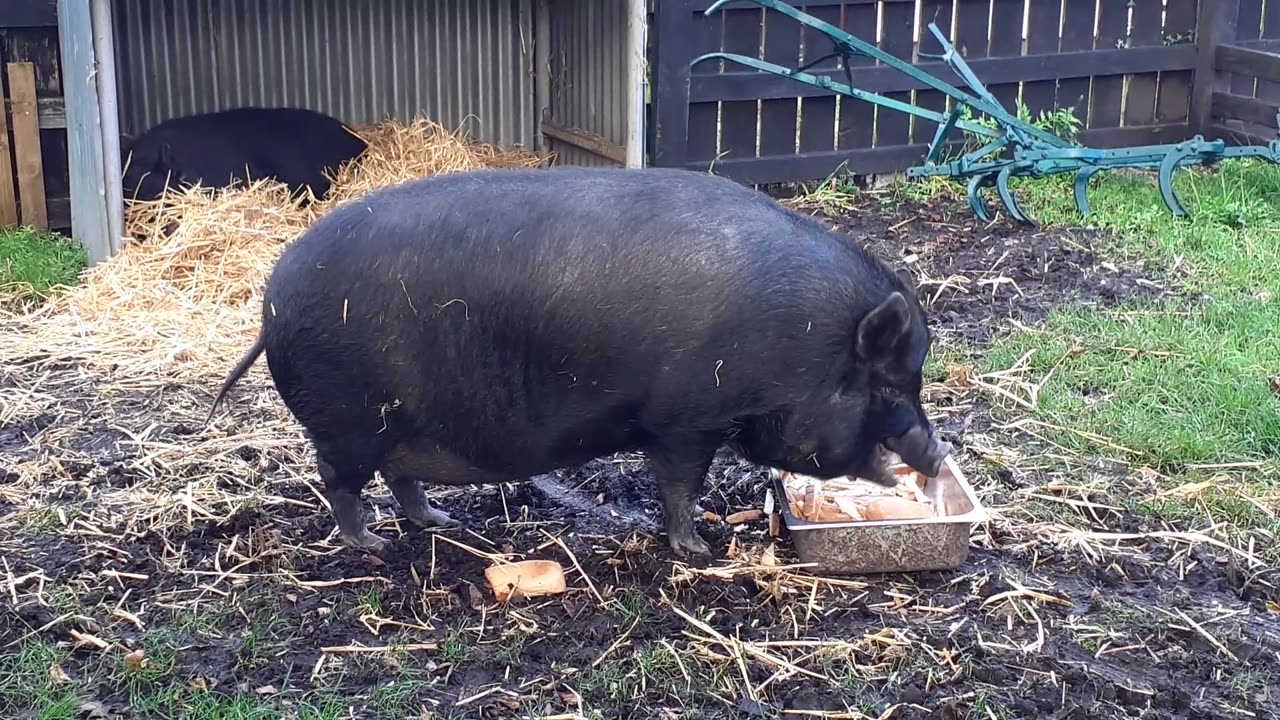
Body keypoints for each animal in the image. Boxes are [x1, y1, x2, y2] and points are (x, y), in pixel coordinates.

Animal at [206, 166, 951, 561]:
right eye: (888, 383)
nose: (938, 450)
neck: (800, 344)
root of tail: (271, 305)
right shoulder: (684, 419)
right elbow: (679, 485)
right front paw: (698, 552)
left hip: (392, 426)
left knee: (400, 478)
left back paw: (442, 524)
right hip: (348, 423)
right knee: (338, 481)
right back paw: (372, 546)